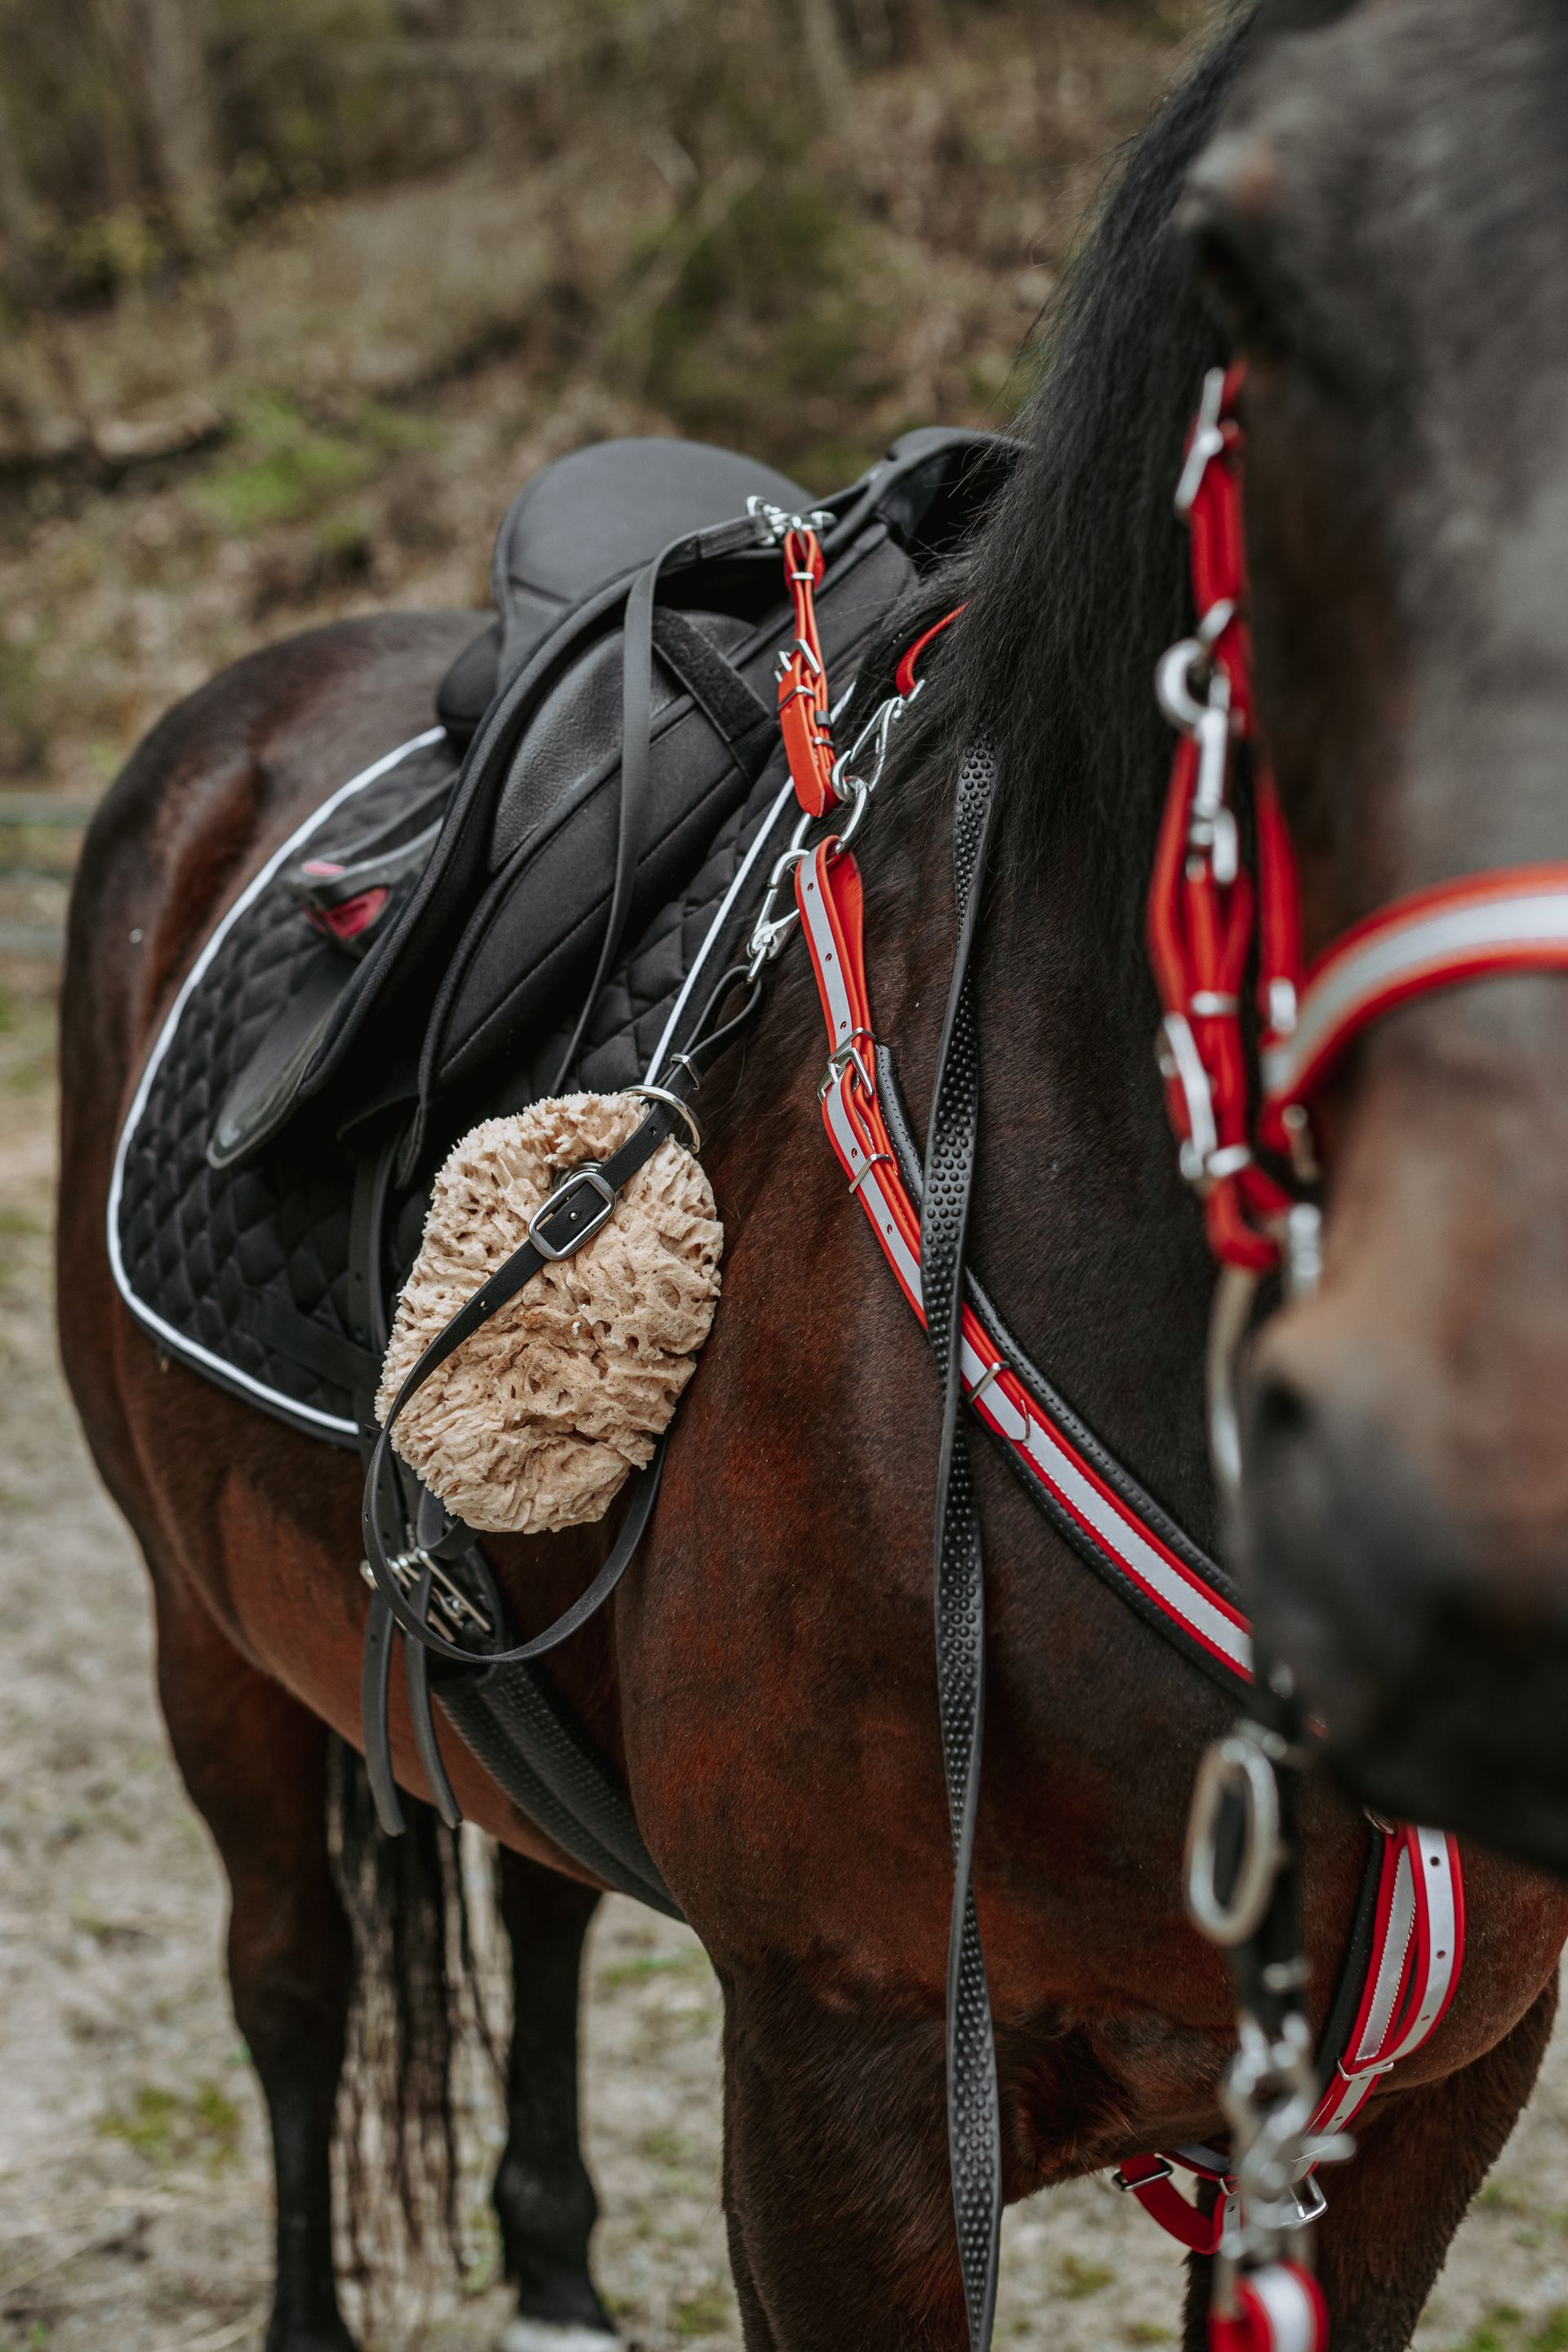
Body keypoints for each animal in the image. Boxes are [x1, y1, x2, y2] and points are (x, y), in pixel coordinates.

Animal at [55, 3, 1568, 2349]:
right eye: (1242, 278)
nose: (1485, 1505)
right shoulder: (846, 2100)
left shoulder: (1411, 2116)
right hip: (202, 1632)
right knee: (292, 1996)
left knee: (538, 1898)